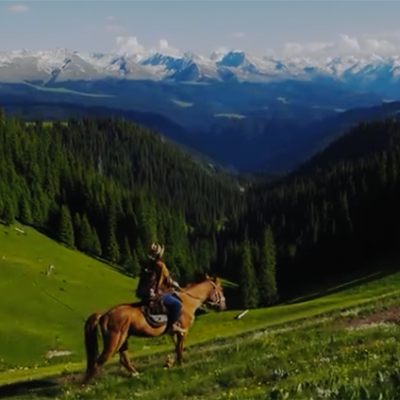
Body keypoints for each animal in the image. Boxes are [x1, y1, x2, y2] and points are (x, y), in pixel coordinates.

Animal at [83, 276, 227, 384]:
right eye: (220, 289)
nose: (223, 305)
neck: (188, 301)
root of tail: (105, 314)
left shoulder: (175, 333)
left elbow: (177, 348)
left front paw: (170, 363)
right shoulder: (183, 331)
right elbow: (180, 348)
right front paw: (180, 364)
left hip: (123, 339)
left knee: (123, 359)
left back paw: (136, 374)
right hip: (114, 341)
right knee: (98, 362)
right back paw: (86, 386)